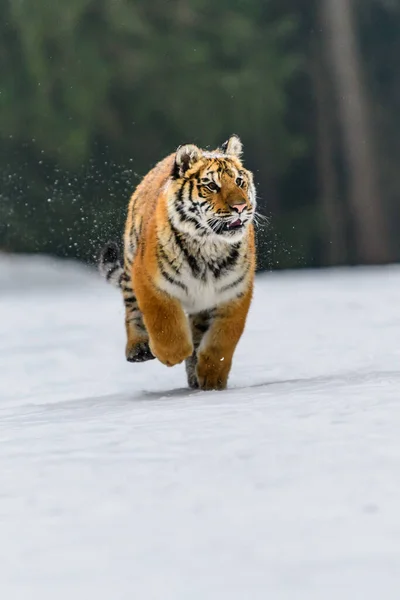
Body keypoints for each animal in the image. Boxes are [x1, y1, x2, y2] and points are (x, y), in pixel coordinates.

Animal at [99, 134, 258, 392]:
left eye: (239, 181)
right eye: (212, 186)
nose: (241, 207)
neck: (208, 246)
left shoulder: (234, 293)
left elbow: (222, 340)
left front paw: (212, 378)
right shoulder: (151, 283)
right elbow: (165, 323)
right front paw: (172, 354)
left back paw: (195, 377)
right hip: (131, 264)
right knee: (132, 310)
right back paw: (139, 349)